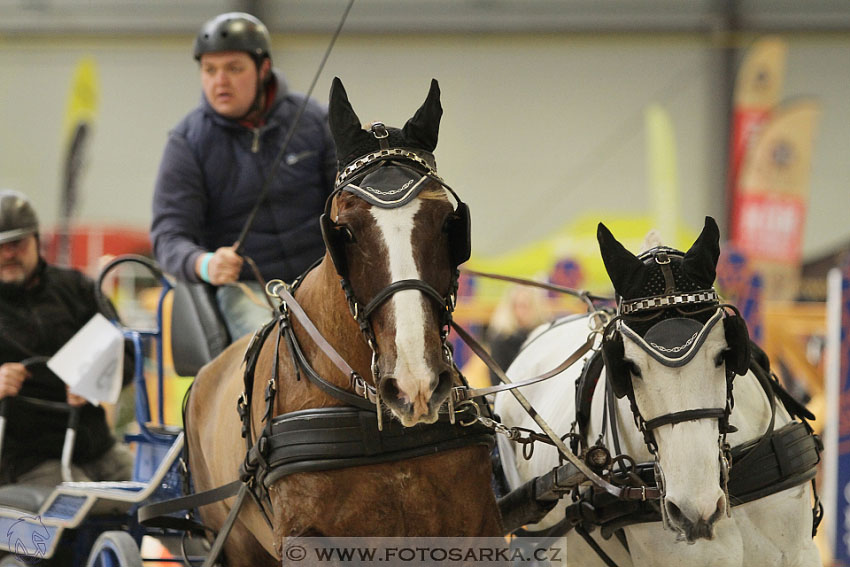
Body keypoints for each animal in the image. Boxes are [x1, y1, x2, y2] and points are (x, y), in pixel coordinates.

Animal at [185, 77, 500, 564]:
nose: (415, 382)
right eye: (345, 230)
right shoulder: (307, 540)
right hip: (235, 543)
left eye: (449, 223)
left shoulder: (477, 530)